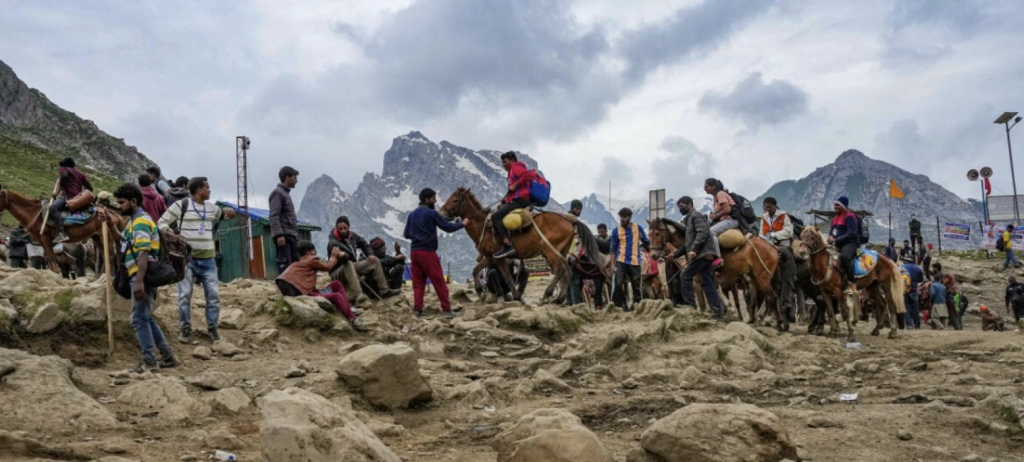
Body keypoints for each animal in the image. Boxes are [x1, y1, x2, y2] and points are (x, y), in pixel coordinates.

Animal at [436, 188, 602, 303]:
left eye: (455, 200)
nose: (441, 213)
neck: (485, 226)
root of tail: (570, 221)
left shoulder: (499, 259)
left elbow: (508, 278)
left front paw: (517, 297)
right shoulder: (491, 257)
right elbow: (476, 269)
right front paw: (480, 291)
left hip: (550, 252)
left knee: (561, 271)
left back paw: (547, 295)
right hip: (561, 252)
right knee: (567, 272)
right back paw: (558, 299)